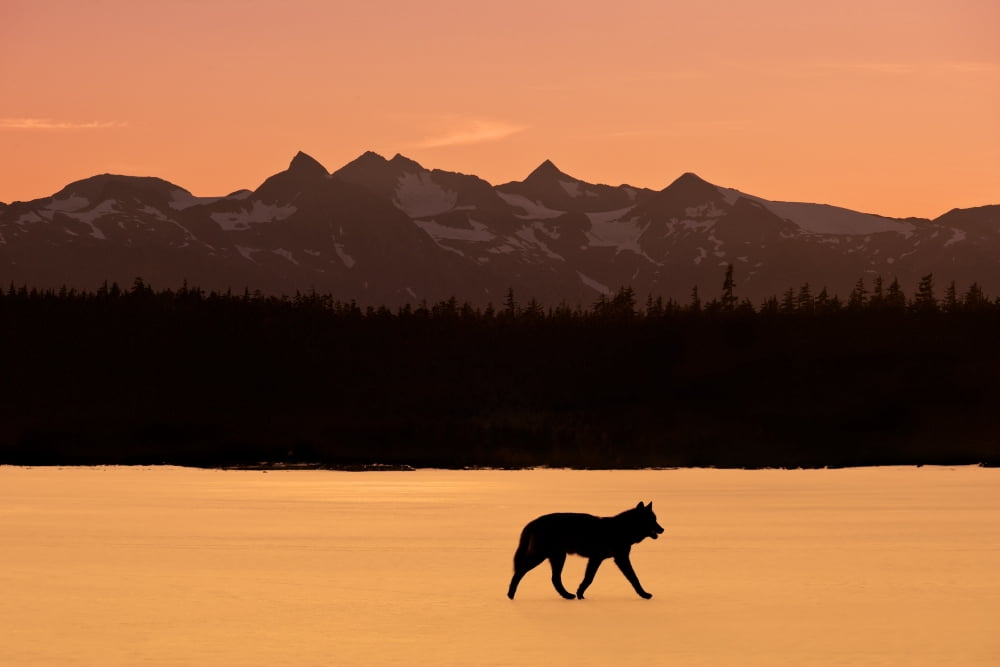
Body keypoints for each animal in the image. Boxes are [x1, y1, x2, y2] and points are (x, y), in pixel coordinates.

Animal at [506, 501, 664, 600]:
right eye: (652, 520)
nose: (662, 529)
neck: (622, 529)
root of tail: (533, 522)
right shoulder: (620, 559)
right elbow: (634, 578)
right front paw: (645, 594)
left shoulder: (596, 559)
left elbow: (588, 578)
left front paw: (580, 594)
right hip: (541, 556)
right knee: (519, 572)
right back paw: (510, 595)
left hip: (558, 557)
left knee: (555, 578)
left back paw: (568, 596)